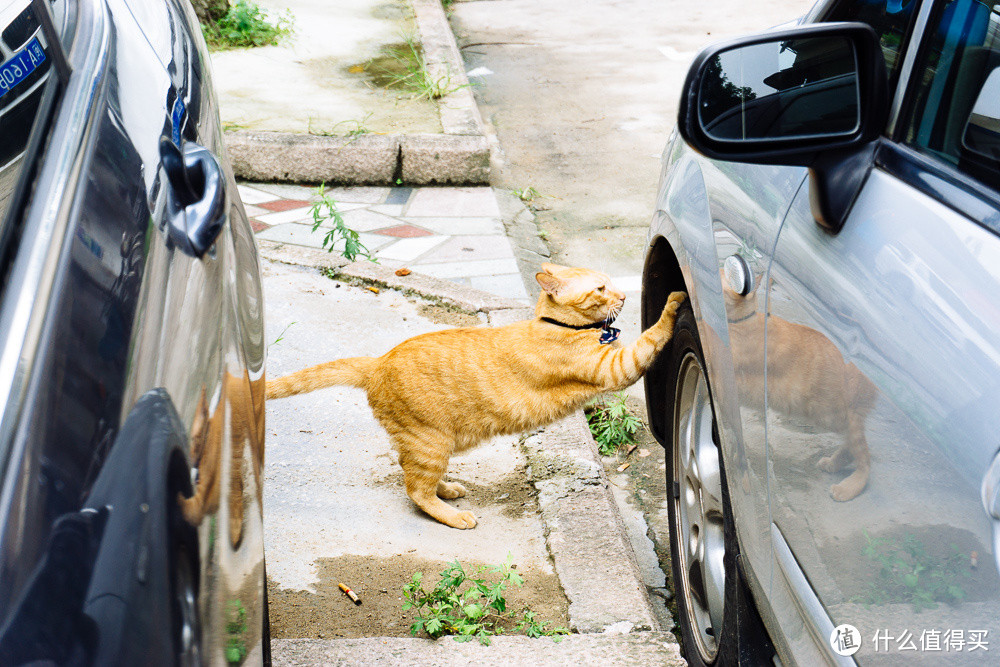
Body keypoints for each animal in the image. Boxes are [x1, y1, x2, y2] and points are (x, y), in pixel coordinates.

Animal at [266, 264, 688, 528]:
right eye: (600, 289)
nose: (623, 296)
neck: (560, 325)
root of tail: (378, 361)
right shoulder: (618, 368)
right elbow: (652, 336)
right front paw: (674, 300)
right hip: (431, 442)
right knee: (414, 489)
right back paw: (452, 514)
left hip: (427, 443)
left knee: (408, 470)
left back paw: (448, 489)